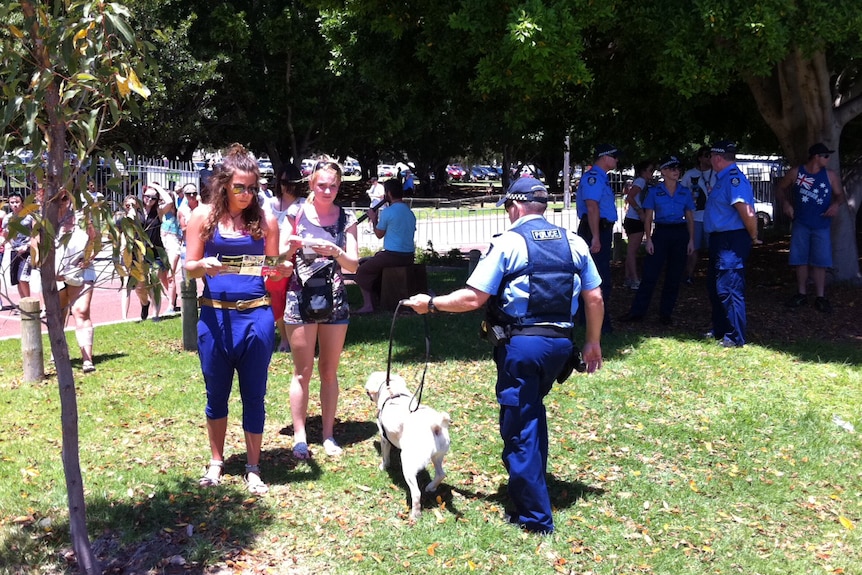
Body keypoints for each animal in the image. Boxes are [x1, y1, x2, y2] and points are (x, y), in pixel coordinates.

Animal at [364, 372, 452, 520]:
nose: (367, 392)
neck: (392, 392)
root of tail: (435, 425)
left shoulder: (384, 438)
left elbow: (385, 457)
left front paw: (383, 466)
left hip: (408, 465)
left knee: (416, 493)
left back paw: (415, 515)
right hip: (438, 456)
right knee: (441, 474)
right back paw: (431, 487)